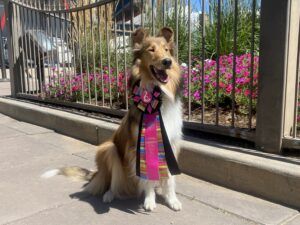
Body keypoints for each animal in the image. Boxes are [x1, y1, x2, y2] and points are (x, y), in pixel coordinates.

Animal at [42, 27, 182, 212]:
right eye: (151, 50)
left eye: (166, 50)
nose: (167, 62)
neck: (158, 98)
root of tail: (96, 174)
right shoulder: (138, 148)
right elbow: (146, 178)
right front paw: (150, 201)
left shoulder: (170, 144)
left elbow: (170, 178)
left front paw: (172, 200)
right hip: (109, 149)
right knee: (110, 182)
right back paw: (109, 195)